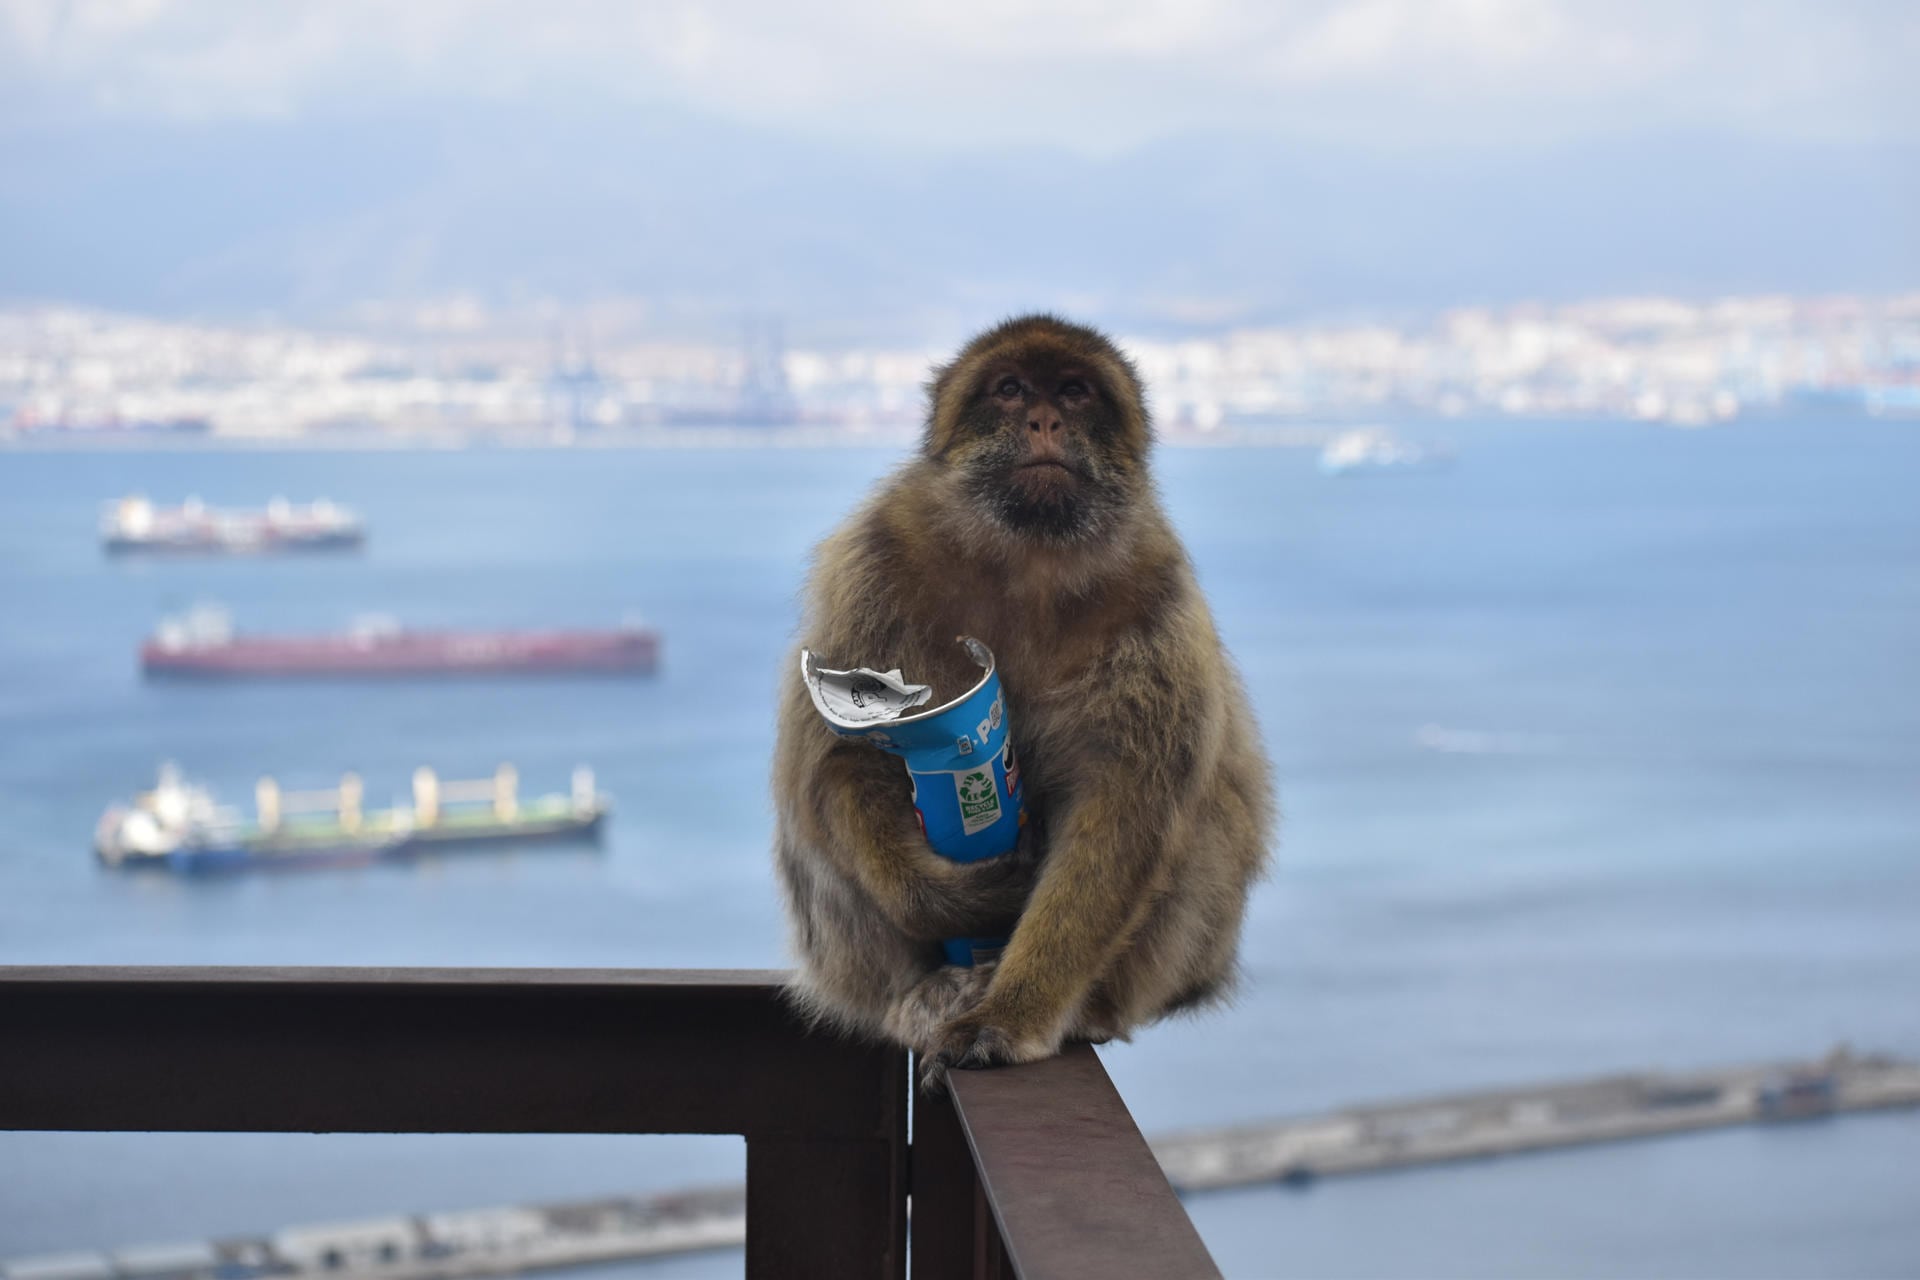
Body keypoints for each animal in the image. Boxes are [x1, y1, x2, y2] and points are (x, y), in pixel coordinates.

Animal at [772, 314, 1274, 1088]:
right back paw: (926, 990)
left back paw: (1082, 1006)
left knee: (1209, 813)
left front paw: (1012, 1016)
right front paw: (962, 898)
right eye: (1010, 390)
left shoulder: (1157, 598)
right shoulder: (873, 559)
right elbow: (839, 759)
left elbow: (1124, 807)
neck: (1028, 559)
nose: (1044, 419)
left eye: (1074, 391)